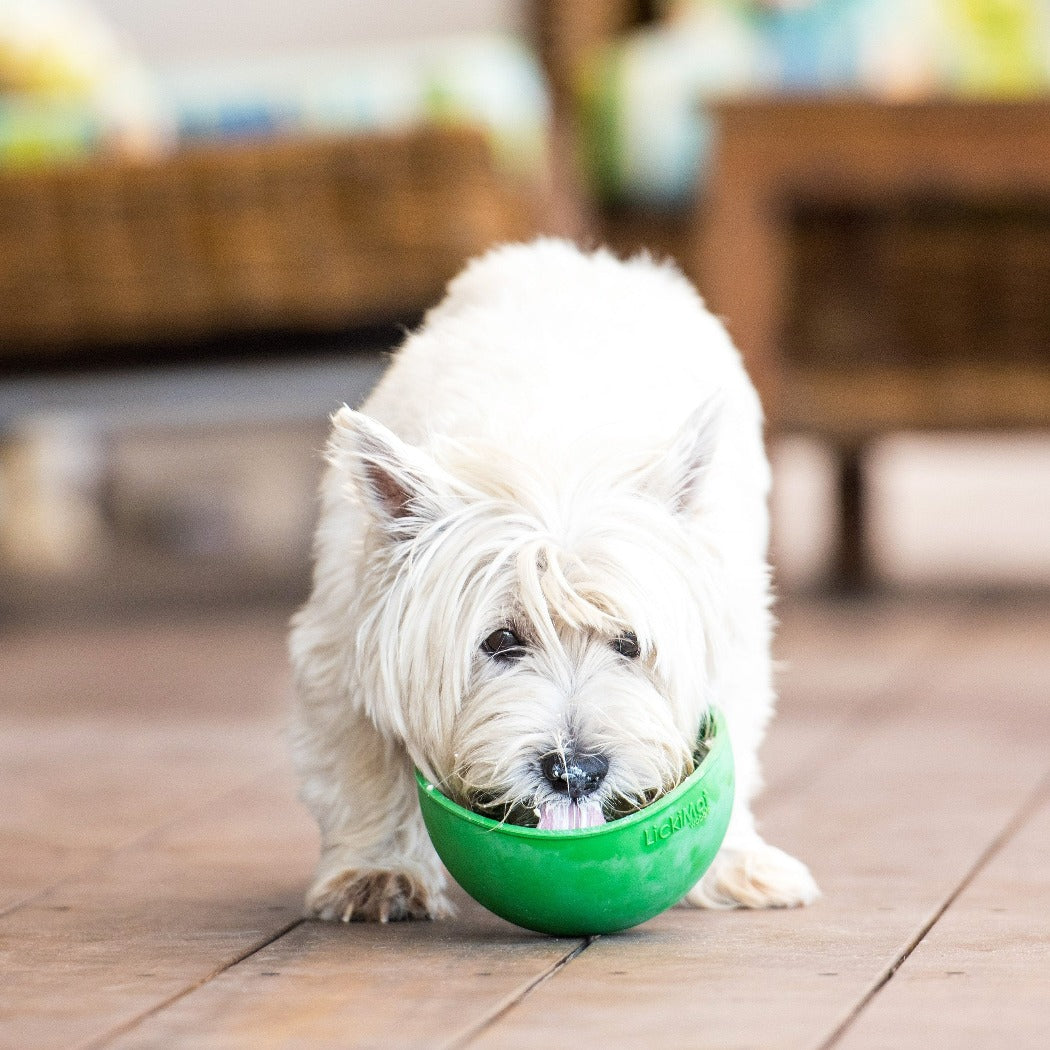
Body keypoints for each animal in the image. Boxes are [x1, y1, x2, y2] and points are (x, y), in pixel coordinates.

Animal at [289, 241, 818, 923]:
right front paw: (378, 871)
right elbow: (365, 762)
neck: (549, 464)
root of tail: (586, 257)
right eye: (500, 642)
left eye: (629, 643)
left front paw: (735, 861)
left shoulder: (727, 636)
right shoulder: (344, 641)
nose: (577, 772)